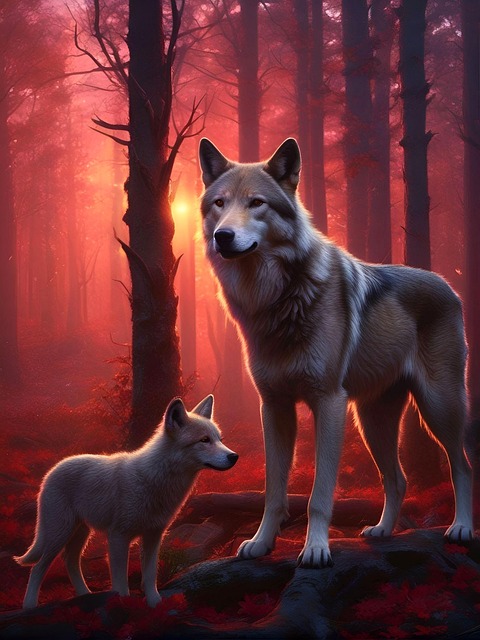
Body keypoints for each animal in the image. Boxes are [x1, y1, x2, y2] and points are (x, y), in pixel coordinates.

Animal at [14, 395, 238, 609]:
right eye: (204, 440)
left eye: (219, 439)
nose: (234, 456)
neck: (155, 480)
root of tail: (51, 471)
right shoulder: (118, 537)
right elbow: (121, 583)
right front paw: (122, 605)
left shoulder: (153, 536)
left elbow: (150, 576)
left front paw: (155, 605)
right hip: (59, 533)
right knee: (38, 567)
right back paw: (30, 606)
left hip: (81, 532)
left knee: (70, 561)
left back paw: (85, 595)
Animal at [199, 137, 473, 569]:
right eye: (219, 204)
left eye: (257, 203)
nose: (223, 236)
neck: (275, 300)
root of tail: (448, 284)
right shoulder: (273, 406)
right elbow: (273, 490)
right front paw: (261, 543)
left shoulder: (328, 402)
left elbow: (319, 495)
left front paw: (315, 550)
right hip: (371, 420)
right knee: (398, 478)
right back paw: (382, 531)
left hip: (438, 406)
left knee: (461, 465)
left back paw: (460, 528)